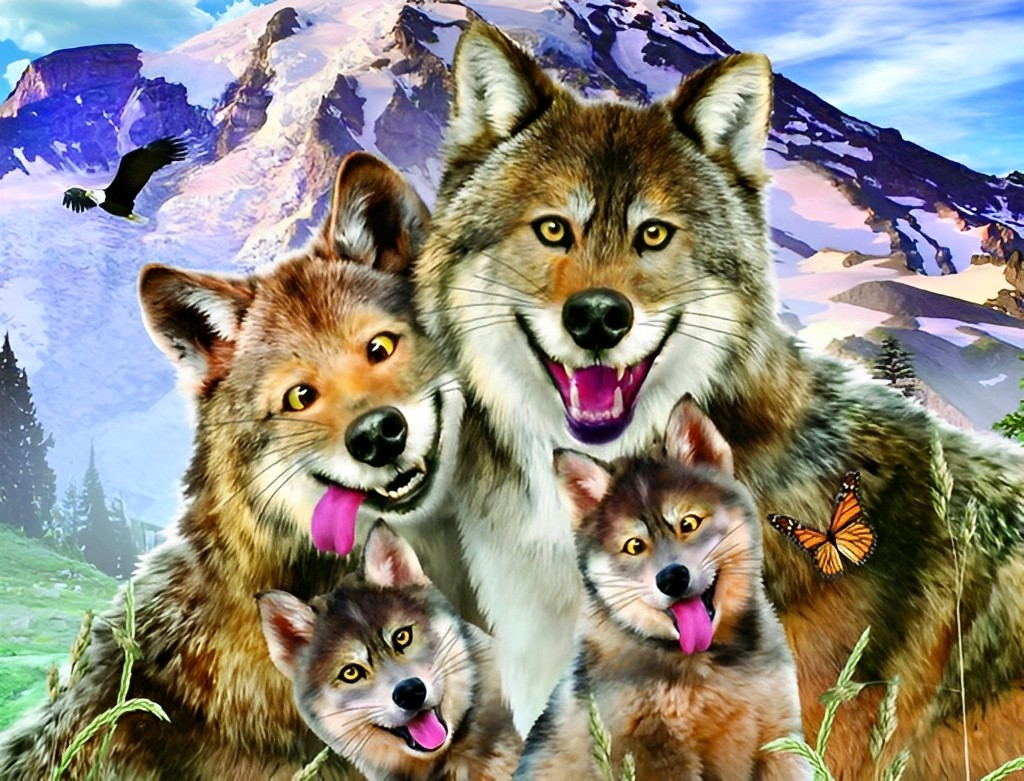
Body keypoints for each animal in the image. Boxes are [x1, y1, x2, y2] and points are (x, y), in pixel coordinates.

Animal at [516, 398, 808, 780]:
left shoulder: (781, 739)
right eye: (634, 546)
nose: (671, 579)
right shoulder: (655, 756)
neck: (715, 666)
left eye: (689, 523)